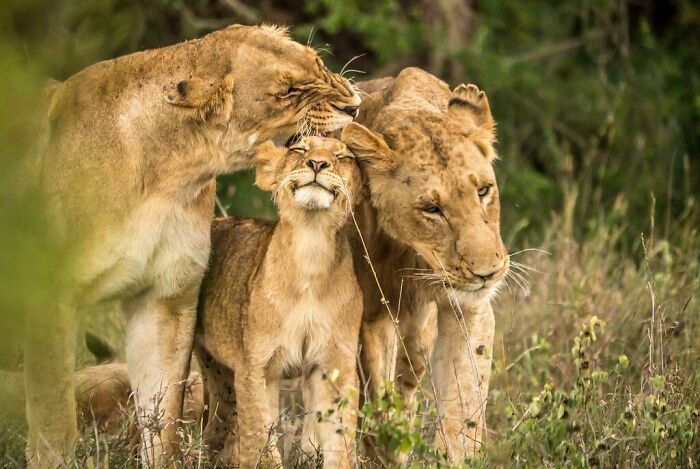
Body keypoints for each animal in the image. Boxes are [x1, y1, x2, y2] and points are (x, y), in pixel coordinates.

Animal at [29, 24, 360, 467]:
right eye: (286, 91)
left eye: (318, 62)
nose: (354, 106)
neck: (169, 174)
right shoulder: (47, 298)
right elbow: (53, 419)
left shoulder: (165, 297)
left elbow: (161, 416)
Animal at [194, 133, 390, 468]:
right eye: (300, 149)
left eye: (343, 156)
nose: (317, 163)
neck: (310, 250)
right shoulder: (255, 369)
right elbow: (261, 440)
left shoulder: (335, 366)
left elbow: (340, 443)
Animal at [340, 67, 509, 461]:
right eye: (432, 209)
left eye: (484, 190)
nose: (487, 273)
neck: (415, 258)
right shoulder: (373, 314)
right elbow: (381, 405)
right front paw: (385, 451)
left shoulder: (469, 310)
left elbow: (463, 405)